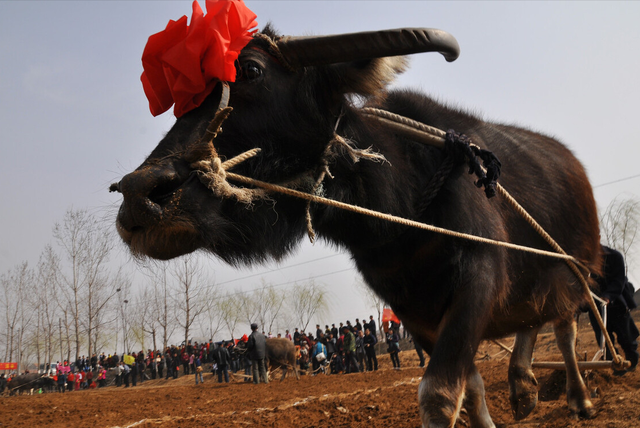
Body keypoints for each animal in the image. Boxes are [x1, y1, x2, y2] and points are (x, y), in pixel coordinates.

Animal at [114, 14, 600, 428]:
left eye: (251, 70)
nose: (140, 194)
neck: (400, 215)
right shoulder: (412, 308)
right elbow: (472, 388)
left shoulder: (478, 276)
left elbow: (439, 393)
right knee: (531, 323)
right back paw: (524, 389)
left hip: (574, 274)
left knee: (565, 331)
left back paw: (579, 399)